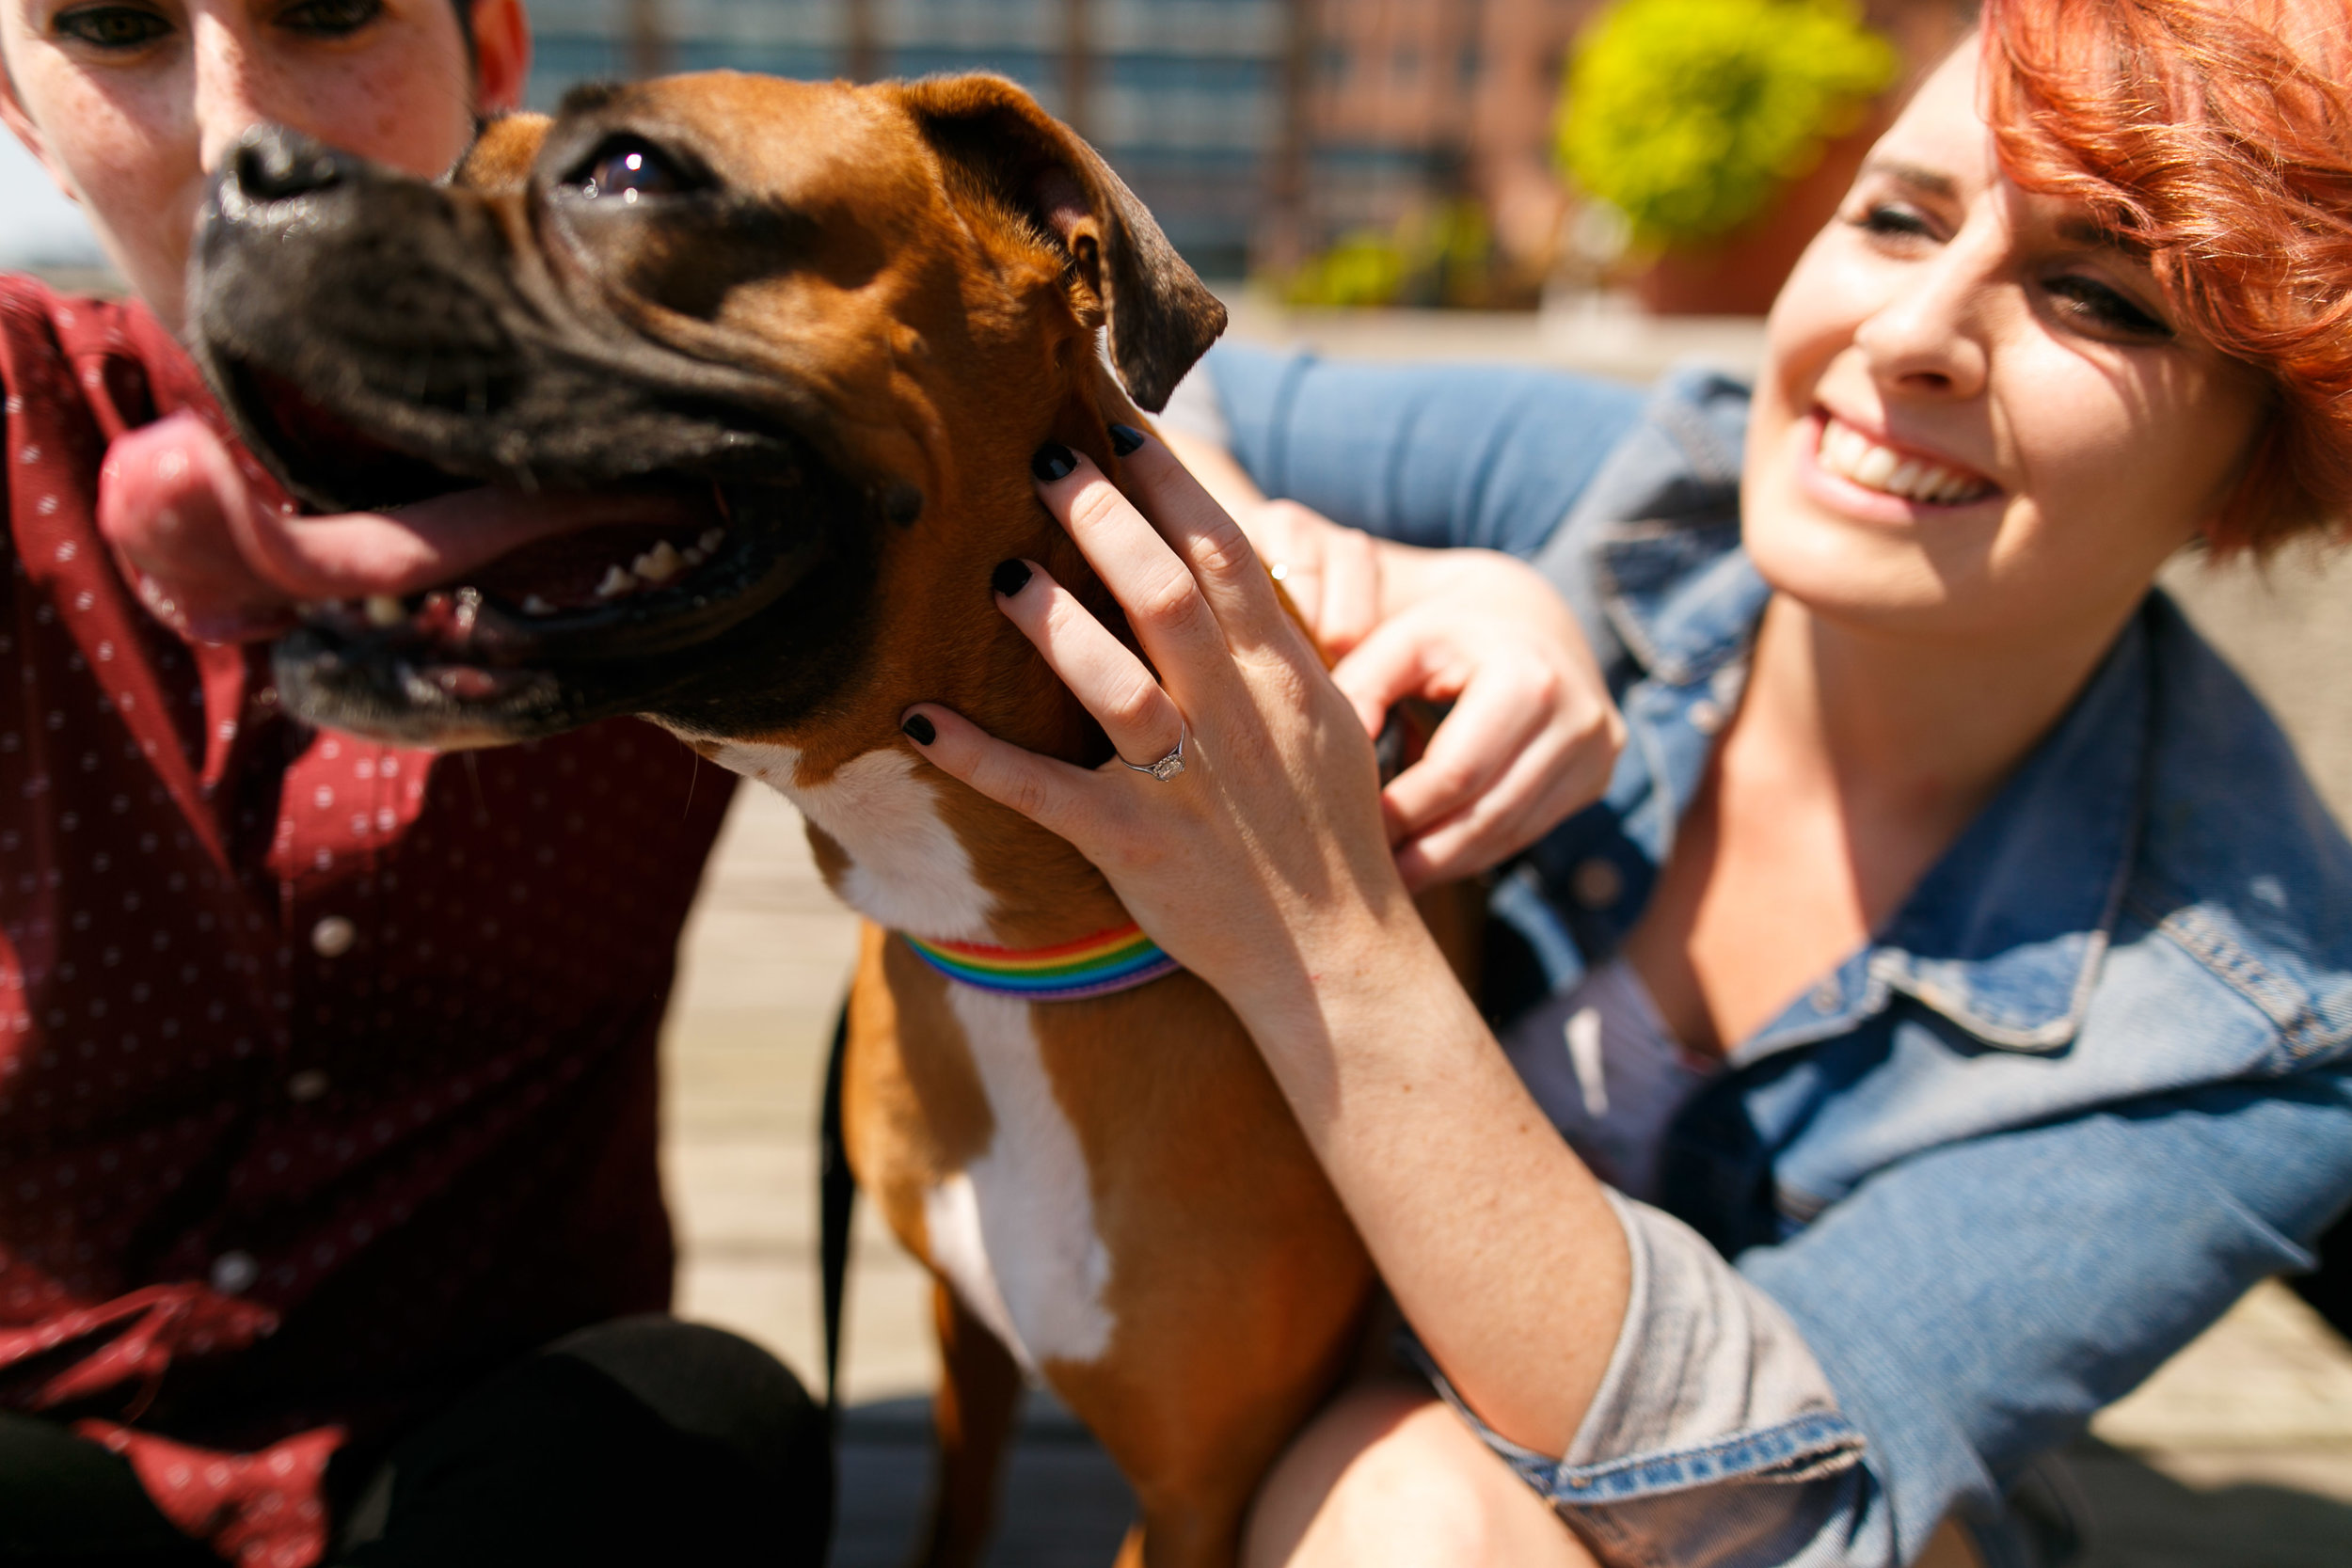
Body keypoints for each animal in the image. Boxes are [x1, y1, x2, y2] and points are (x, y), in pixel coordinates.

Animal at [183, 73, 1430, 1568]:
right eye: (458, 158)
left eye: (631, 171)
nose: (245, 170)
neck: (1017, 943)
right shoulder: (968, 1348)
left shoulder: (1196, 1491)